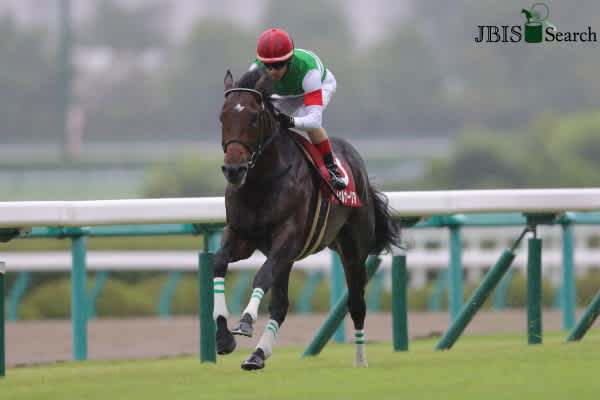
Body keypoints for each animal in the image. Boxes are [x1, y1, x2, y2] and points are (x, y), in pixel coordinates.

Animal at [213, 68, 401, 370]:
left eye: (253, 117)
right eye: (223, 116)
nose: (234, 169)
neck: (262, 181)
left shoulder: (287, 237)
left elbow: (261, 275)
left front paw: (244, 322)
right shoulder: (241, 235)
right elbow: (218, 262)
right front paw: (223, 337)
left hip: (352, 250)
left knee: (357, 304)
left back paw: (360, 359)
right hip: (291, 258)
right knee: (280, 305)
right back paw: (258, 354)